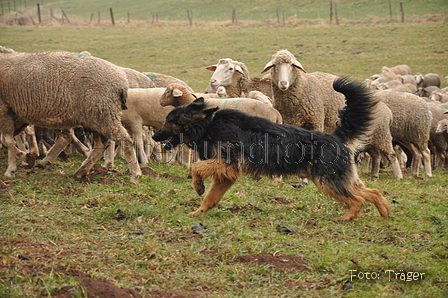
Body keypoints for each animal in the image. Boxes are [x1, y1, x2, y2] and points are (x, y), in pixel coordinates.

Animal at [153, 77, 388, 221]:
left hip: (327, 181)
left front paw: (198, 186)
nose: (155, 136)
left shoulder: (226, 164)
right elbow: (211, 197)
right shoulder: (226, 174)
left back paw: (346, 217)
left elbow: (196, 168)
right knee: (372, 192)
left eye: (167, 121)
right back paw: (385, 212)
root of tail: (335, 136)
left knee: (358, 199)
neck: (207, 123)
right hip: (334, 179)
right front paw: (199, 211)